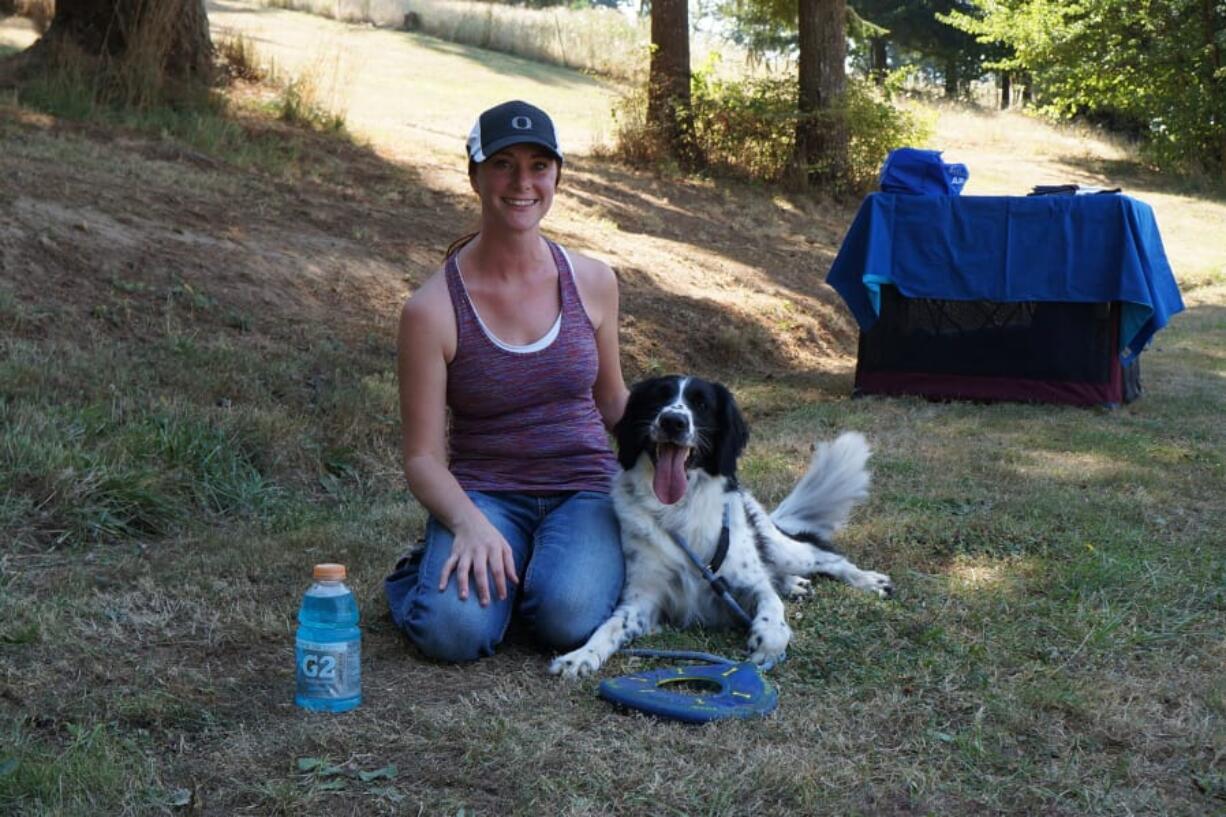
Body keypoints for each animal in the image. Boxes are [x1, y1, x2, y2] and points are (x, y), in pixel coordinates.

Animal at [554, 375, 892, 672]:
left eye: (702, 404)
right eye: (658, 398)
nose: (673, 421)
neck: (680, 508)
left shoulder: (746, 583)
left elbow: (771, 605)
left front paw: (769, 639)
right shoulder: (643, 598)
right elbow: (610, 627)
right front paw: (580, 657)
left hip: (785, 549)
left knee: (826, 557)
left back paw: (867, 580)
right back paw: (795, 584)